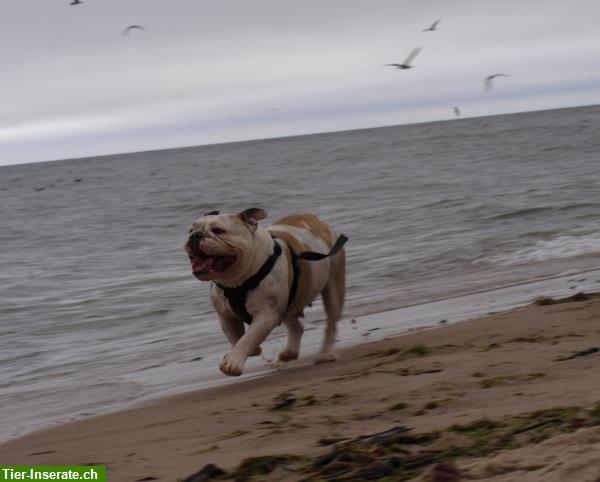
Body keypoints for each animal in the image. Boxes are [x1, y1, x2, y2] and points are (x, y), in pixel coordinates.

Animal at [185, 207, 350, 376]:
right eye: (190, 230)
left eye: (218, 231)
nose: (195, 235)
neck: (236, 281)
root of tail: (318, 221)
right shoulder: (226, 317)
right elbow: (235, 337)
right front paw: (251, 350)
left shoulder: (265, 315)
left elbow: (247, 338)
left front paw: (233, 362)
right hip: (287, 302)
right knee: (295, 325)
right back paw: (289, 352)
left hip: (333, 287)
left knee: (331, 322)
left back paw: (326, 353)